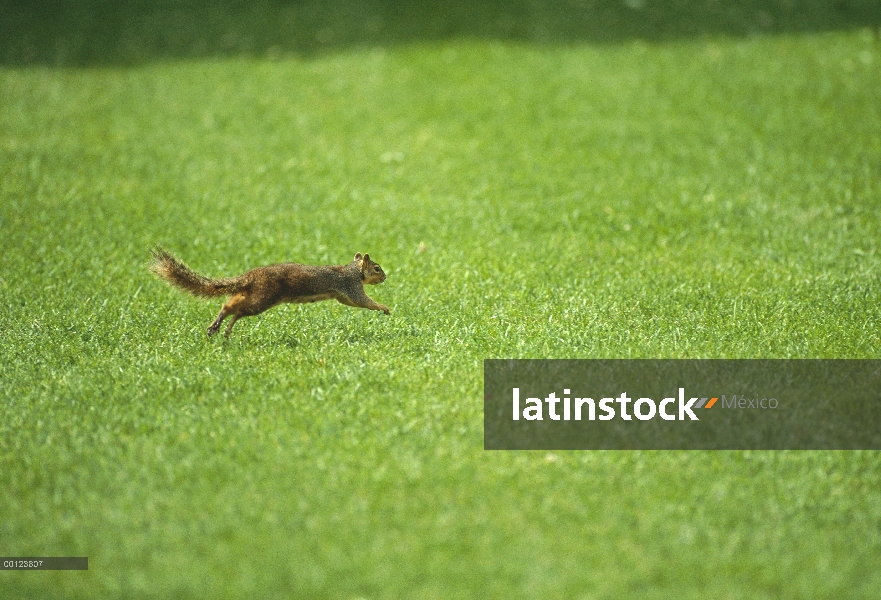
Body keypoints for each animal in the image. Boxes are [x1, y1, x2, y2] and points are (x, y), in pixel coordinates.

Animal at [150, 248, 390, 338]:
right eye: (377, 268)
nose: (386, 277)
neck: (353, 271)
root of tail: (251, 276)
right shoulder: (351, 287)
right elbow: (365, 302)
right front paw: (384, 308)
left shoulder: (344, 295)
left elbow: (351, 303)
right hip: (263, 298)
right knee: (239, 310)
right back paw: (226, 328)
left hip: (255, 293)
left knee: (229, 304)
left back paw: (217, 327)